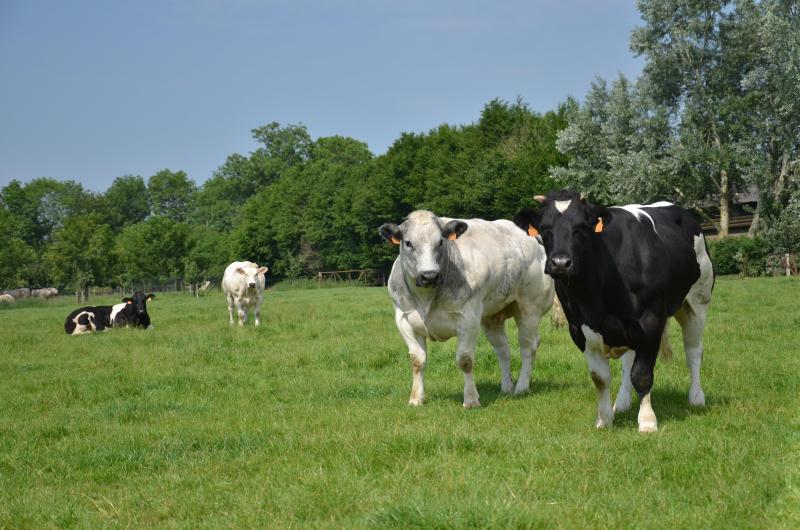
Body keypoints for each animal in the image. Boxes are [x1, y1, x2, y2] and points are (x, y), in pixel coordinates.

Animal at [378, 208, 552, 406]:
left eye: (440, 241)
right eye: (408, 243)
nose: (429, 276)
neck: (426, 298)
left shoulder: (469, 318)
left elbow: (465, 360)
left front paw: (471, 399)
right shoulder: (404, 319)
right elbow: (417, 360)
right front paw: (416, 399)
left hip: (529, 308)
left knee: (528, 346)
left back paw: (521, 387)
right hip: (492, 316)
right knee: (503, 350)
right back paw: (507, 387)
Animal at [516, 192, 716, 432]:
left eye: (581, 227)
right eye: (545, 228)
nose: (561, 263)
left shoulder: (650, 322)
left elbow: (642, 375)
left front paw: (647, 422)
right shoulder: (579, 330)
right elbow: (601, 377)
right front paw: (604, 419)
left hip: (697, 301)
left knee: (693, 350)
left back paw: (696, 398)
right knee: (629, 361)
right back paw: (621, 403)